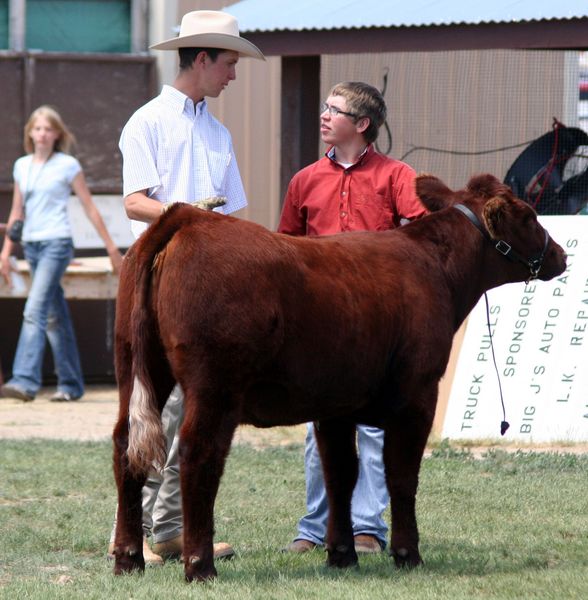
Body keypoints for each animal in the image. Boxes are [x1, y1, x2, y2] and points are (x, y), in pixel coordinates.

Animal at [112, 172, 568, 580]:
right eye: (529, 216)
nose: (561, 255)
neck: (433, 267)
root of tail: (188, 218)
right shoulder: (417, 394)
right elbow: (401, 475)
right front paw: (408, 554)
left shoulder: (335, 403)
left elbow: (340, 476)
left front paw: (342, 554)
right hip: (215, 385)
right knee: (198, 454)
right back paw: (200, 565)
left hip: (135, 367)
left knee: (125, 446)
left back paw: (128, 559)